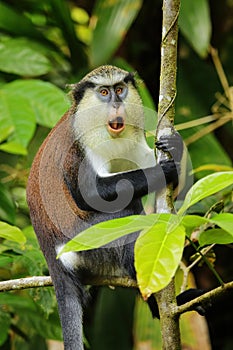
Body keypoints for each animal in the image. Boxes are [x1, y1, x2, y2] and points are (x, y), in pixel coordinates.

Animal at [26, 65, 203, 348]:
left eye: (120, 89)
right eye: (104, 92)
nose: (117, 104)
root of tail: (52, 259)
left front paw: (175, 147)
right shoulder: (78, 148)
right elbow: (90, 194)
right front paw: (163, 171)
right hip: (87, 245)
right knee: (126, 211)